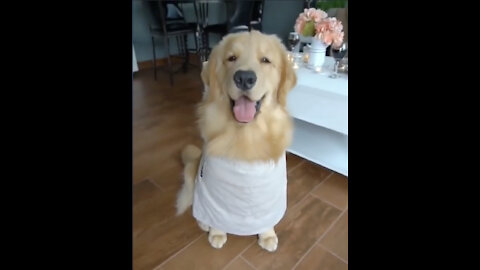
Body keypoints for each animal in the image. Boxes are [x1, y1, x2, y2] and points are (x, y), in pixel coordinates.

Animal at [176, 30, 296, 252]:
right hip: (192, 170)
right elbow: (215, 213)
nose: (245, 78)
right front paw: (217, 232)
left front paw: (267, 234)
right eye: (231, 58)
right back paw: (204, 222)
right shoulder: (212, 189)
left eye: (265, 60)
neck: (246, 135)